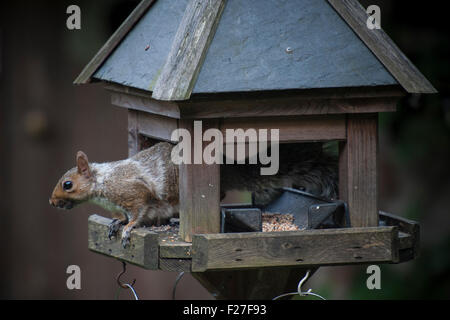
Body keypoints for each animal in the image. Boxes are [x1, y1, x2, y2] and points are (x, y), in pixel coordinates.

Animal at [50, 141, 338, 248]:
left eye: (67, 184)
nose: (52, 202)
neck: (103, 181)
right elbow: (123, 215)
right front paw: (116, 222)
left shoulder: (133, 191)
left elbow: (139, 210)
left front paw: (129, 228)